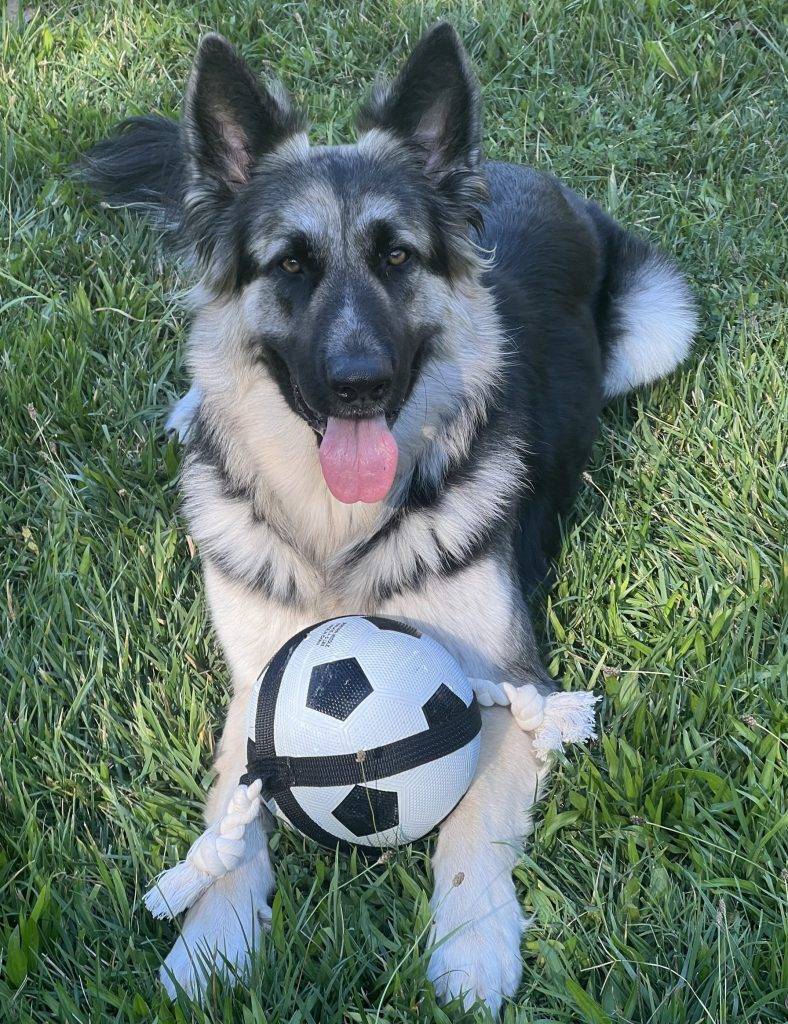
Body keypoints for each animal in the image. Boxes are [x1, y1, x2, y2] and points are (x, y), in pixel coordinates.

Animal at [79, 24, 695, 1015]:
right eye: (291, 264)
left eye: (398, 257)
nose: (359, 384)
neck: (339, 531)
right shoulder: (251, 697)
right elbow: (233, 829)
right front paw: (213, 940)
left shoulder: (511, 682)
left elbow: (470, 822)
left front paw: (472, 945)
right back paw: (191, 409)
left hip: (659, 329)